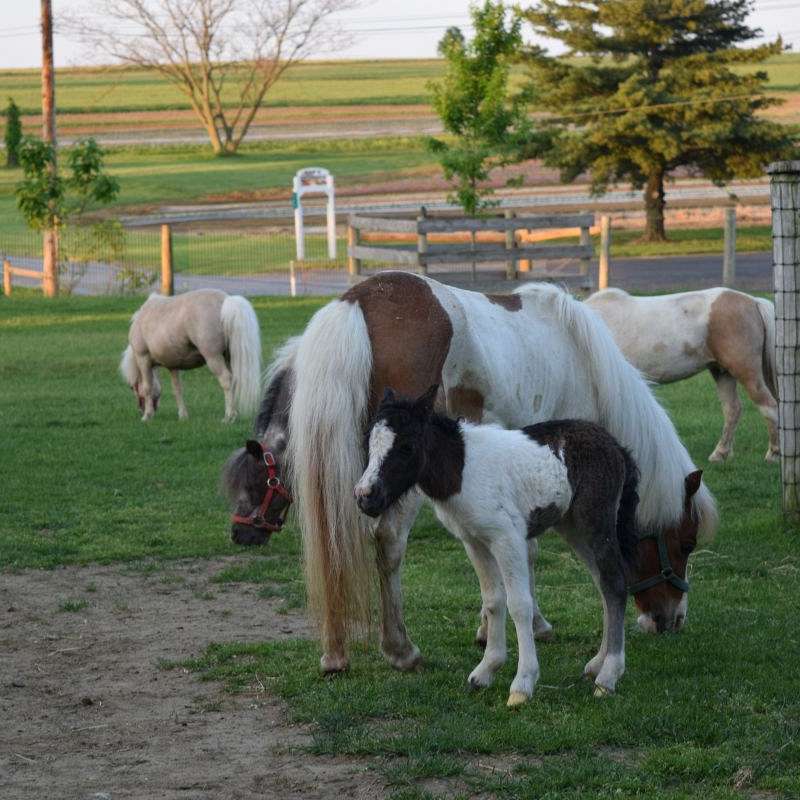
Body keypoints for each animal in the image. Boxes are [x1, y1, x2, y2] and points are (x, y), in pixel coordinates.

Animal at [120, 290, 260, 424]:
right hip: (228, 358)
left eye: (133, 388)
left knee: (226, 380)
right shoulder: (173, 366)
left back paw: (229, 417)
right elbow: (177, 390)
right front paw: (183, 415)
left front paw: (147, 416)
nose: (141, 410)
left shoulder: (143, 359)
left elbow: (148, 387)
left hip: (213, 358)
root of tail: (226, 300)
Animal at [220, 274, 720, 676]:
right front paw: (528, 626)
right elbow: (526, 552)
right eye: (686, 543)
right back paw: (401, 649)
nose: (670, 620)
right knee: (388, 544)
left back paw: (335, 654)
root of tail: (357, 302)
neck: (581, 358)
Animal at [354, 388, 640, 708]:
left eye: (406, 446)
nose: (365, 497)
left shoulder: (507, 537)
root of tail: (616, 447)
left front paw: (522, 683)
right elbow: (493, 601)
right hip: (574, 528)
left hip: (596, 522)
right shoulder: (475, 541)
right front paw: (486, 670)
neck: (462, 469)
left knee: (615, 583)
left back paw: (608, 676)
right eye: (368, 444)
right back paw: (597, 664)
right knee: (604, 584)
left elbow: (519, 604)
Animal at [584, 288, 780, 462]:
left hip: (745, 371)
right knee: (732, 409)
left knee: (768, 406)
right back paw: (720, 454)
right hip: (722, 372)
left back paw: (773, 454)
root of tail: (753, 301)